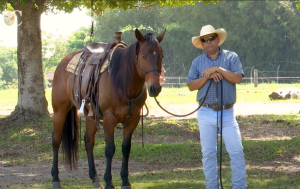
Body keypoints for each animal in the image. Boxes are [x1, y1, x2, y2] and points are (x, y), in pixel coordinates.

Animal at [50, 28, 165, 189]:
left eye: (161, 56)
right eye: (143, 56)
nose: (155, 88)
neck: (122, 81)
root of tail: (63, 62)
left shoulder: (133, 119)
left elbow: (126, 148)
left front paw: (125, 181)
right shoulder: (109, 119)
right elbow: (110, 149)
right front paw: (109, 182)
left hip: (90, 116)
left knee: (88, 141)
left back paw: (95, 178)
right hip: (59, 111)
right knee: (56, 140)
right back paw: (55, 179)